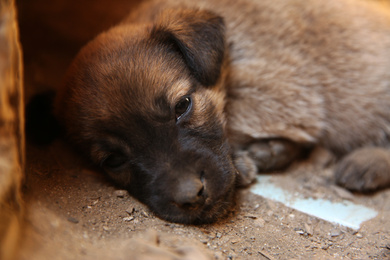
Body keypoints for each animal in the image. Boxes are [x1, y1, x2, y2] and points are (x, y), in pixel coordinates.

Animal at [54, 0, 390, 223]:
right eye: (113, 160)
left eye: (182, 106)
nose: (192, 196)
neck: (229, 55)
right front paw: (267, 153)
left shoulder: (282, 91)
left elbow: (235, 122)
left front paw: (254, 156)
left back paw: (364, 163)